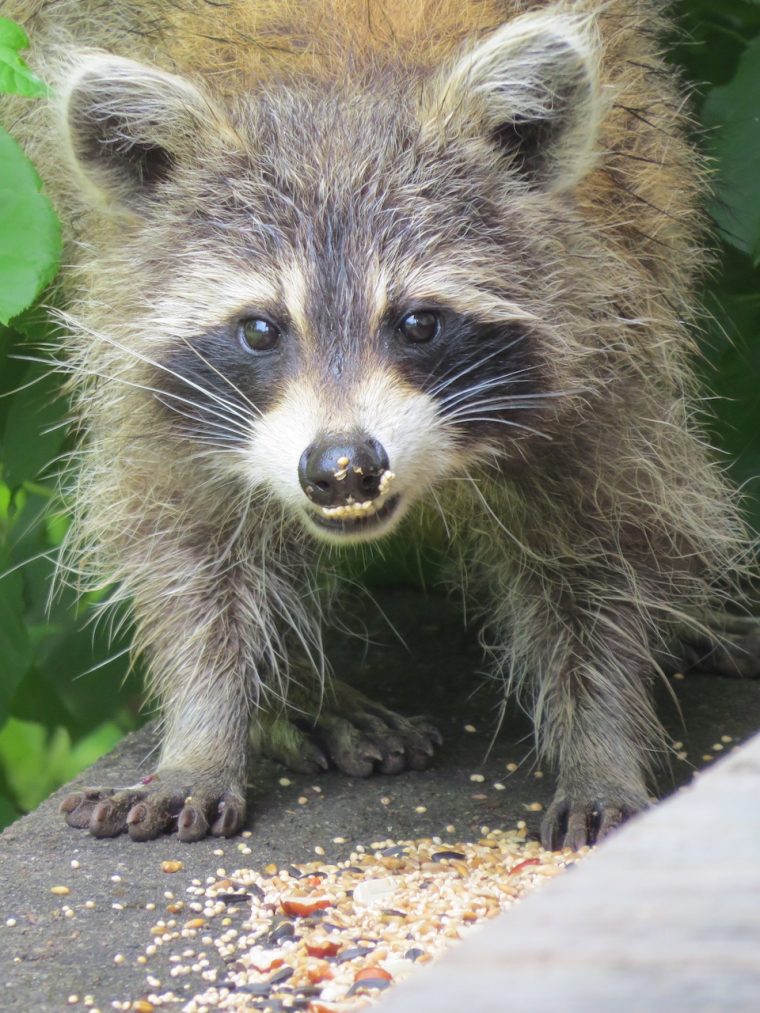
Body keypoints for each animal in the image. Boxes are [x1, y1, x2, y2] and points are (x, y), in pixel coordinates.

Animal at [7, 0, 760, 846]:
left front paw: (601, 740)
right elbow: (190, 549)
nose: (342, 467)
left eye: (418, 323)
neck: (339, 89)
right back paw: (299, 695)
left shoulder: (607, 331)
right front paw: (204, 731)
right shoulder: (152, 358)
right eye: (260, 329)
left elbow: (611, 547)